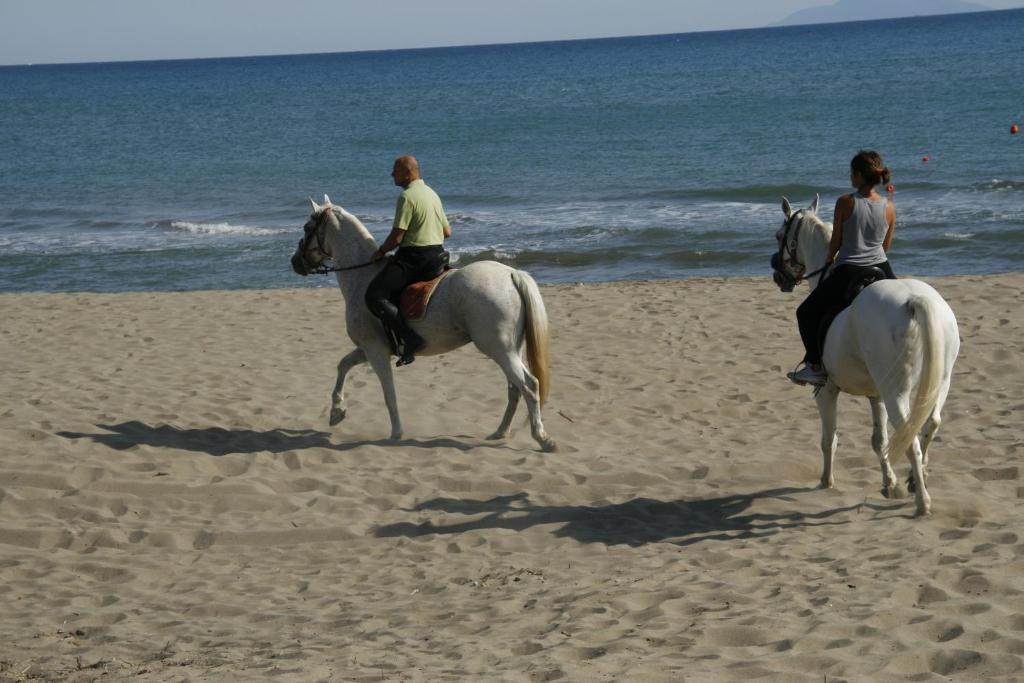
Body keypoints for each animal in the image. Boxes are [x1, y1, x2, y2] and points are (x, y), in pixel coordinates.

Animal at [288, 196, 561, 454]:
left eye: (307, 227)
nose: (295, 262)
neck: (362, 276)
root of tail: (511, 274)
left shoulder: (375, 351)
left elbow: (388, 393)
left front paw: (396, 433)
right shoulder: (369, 348)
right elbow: (343, 365)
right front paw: (336, 412)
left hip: (499, 349)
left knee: (529, 386)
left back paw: (542, 439)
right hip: (509, 349)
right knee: (515, 389)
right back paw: (500, 432)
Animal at [774, 194, 958, 516]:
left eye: (779, 236)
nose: (778, 277)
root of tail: (915, 300)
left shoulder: (826, 391)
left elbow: (829, 439)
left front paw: (826, 480)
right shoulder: (876, 396)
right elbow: (879, 441)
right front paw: (890, 484)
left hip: (897, 393)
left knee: (911, 439)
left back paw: (922, 502)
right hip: (939, 383)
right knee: (930, 424)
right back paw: (915, 480)